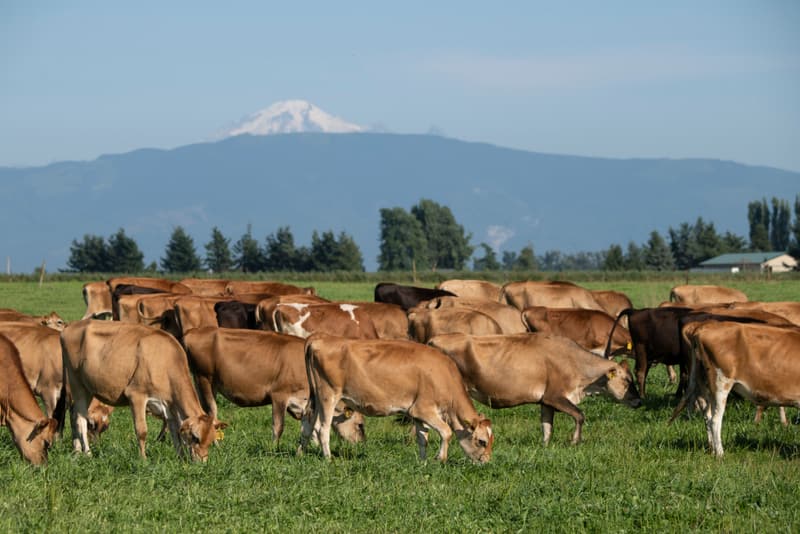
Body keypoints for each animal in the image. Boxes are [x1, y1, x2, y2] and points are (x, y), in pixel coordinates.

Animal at [61, 320, 227, 461]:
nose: (202, 461)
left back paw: (77, 450)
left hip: (88, 388)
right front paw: (143, 459)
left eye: (211, 440)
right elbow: (142, 431)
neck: (165, 362)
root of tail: (70, 326)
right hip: (77, 384)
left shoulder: (168, 405)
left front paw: (180, 459)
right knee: (80, 418)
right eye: (195, 437)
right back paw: (87, 453)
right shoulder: (137, 395)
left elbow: (175, 434)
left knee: (74, 414)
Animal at [182, 327, 365, 444]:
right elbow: (278, 426)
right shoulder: (279, 395)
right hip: (204, 379)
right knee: (212, 413)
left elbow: (310, 427)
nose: (362, 443)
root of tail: (193, 331)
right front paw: (273, 450)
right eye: (360, 425)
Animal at [299, 334, 494, 463]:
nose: (486, 461)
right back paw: (328, 459)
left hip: (316, 398)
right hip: (328, 395)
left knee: (307, 425)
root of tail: (319, 339)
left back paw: (300, 453)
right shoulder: (424, 409)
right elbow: (446, 432)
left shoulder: (417, 414)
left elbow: (423, 438)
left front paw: (423, 463)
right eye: (482, 441)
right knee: (322, 428)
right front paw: (440, 458)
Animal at [428, 333, 641, 444]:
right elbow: (579, 415)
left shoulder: (545, 401)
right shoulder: (555, 396)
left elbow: (547, 427)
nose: (639, 401)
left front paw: (546, 445)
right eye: (627, 380)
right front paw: (575, 441)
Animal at [670, 321, 800, 456]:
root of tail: (704, 326)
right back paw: (720, 454)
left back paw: (712, 449)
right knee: (715, 420)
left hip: (705, 385)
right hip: (721, 384)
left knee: (707, 416)